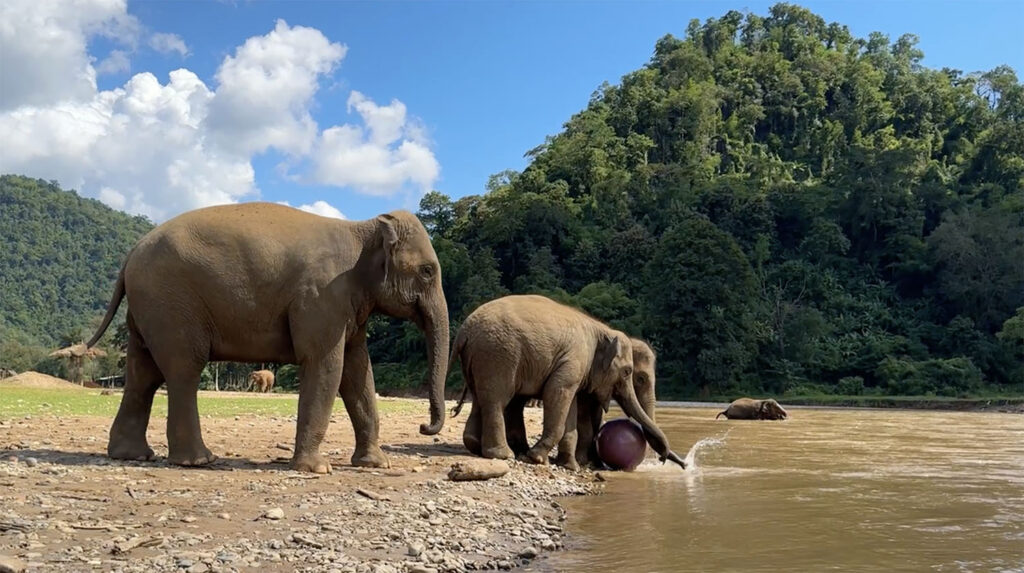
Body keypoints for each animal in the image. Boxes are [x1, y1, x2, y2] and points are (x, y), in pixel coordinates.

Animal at [84, 202, 450, 474]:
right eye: (428, 271)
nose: (424, 427)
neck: (363, 227)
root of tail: (131, 253)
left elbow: (358, 372)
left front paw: (375, 464)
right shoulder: (321, 297)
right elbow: (326, 366)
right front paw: (316, 469)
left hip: (148, 308)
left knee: (142, 373)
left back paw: (132, 455)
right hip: (172, 303)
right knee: (183, 369)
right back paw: (199, 460)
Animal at [502, 338, 659, 469]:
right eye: (640, 379)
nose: (656, 459)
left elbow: (596, 417)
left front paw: (596, 463)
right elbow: (583, 415)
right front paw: (584, 461)